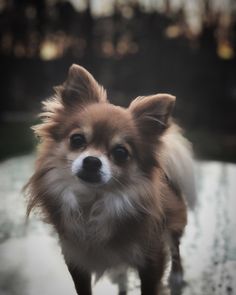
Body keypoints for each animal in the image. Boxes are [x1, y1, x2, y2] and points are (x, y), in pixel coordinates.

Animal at [24, 65, 196, 295]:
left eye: (120, 153)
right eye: (77, 140)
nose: (91, 161)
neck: (94, 202)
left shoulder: (152, 258)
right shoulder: (76, 259)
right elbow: (83, 289)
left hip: (174, 222)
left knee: (176, 247)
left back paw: (176, 276)